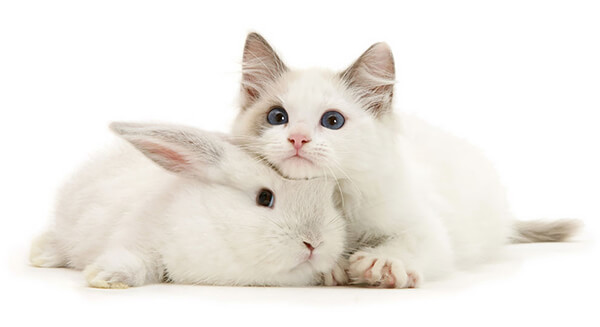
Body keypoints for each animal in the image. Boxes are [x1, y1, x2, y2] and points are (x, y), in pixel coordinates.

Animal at [29, 123, 346, 290]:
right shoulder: (142, 236)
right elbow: (136, 260)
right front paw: (105, 277)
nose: (314, 243)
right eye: (264, 198)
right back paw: (40, 255)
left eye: (331, 200)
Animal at [232, 33, 580, 290]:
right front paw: (332, 264)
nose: (298, 139)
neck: (334, 195)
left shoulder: (429, 228)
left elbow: (409, 242)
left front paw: (382, 261)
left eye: (332, 121)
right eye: (277, 117)